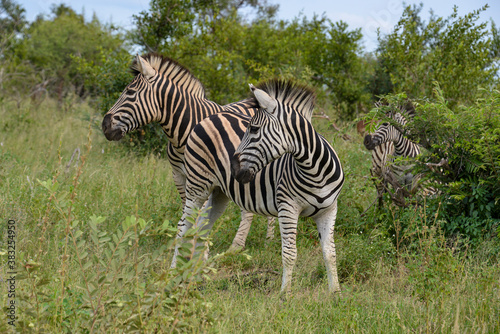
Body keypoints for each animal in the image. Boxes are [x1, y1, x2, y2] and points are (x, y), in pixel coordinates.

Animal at [100, 52, 276, 250]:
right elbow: (188, 212)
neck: (182, 136)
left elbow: (201, 215)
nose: (104, 125)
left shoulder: (205, 177)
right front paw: (183, 242)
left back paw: (247, 244)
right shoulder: (179, 176)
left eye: (130, 92)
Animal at [176, 79, 344, 294]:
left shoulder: (329, 210)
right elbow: (289, 253)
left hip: (219, 192)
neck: (315, 172)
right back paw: (173, 275)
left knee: (201, 229)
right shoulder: (287, 208)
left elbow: (330, 253)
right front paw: (285, 294)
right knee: (183, 228)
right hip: (197, 186)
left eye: (254, 129)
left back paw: (197, 279)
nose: (233, 169)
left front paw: (335, 292)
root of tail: (209, 117)